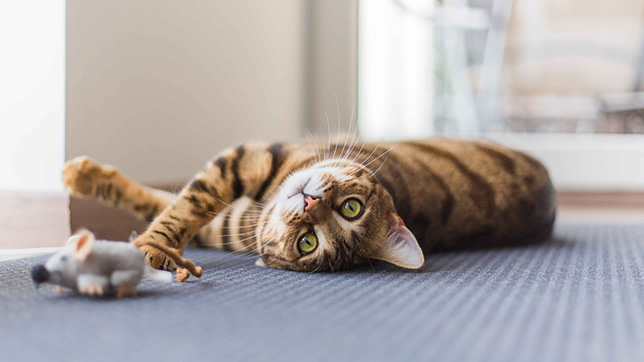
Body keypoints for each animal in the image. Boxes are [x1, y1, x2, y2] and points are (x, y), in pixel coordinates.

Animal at [64, 138, 560, 272]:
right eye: (352, 208)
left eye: (308, 242)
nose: (309, 202)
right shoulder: (248, 162)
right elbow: (173, 200)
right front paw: (83, 175)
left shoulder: (228, 207)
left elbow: (176, 206)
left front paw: (151, 248)